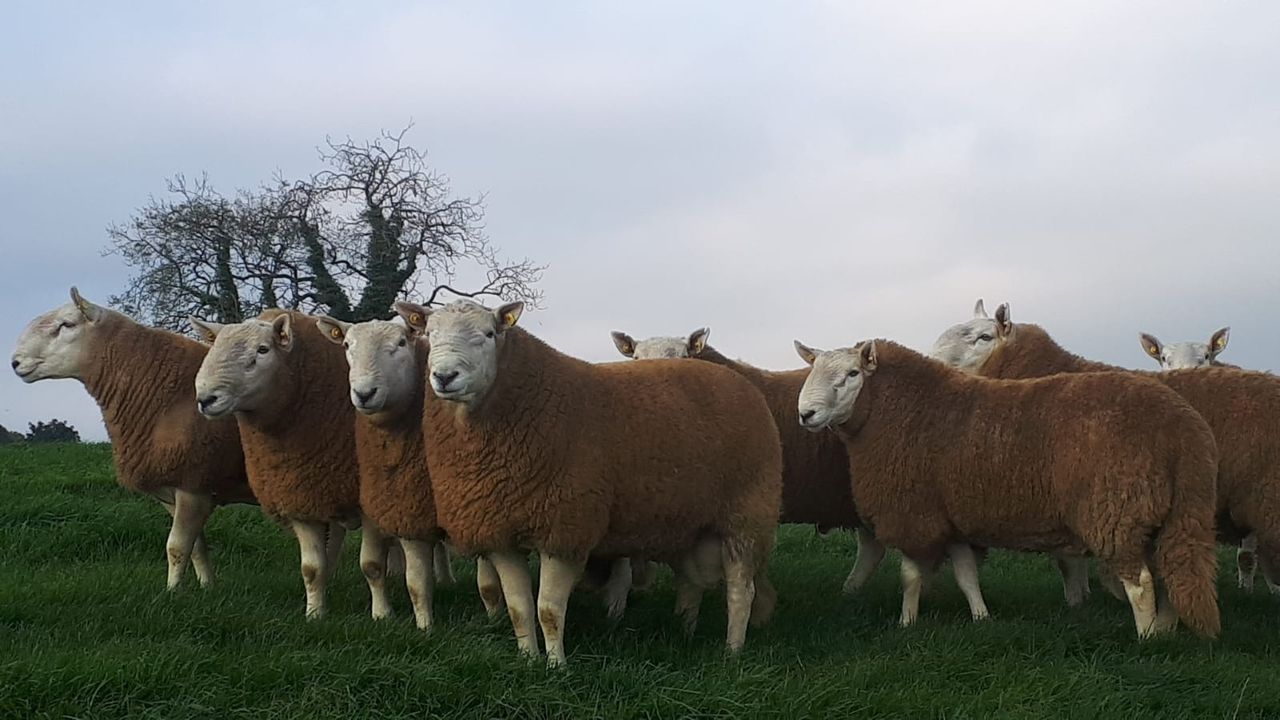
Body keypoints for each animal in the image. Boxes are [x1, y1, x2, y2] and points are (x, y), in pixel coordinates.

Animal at [10, 287, 254, 590]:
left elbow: (176, 547)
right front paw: (206, 589)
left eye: (67, 324)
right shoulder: (174, 488)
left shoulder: (194, 483)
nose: (15, 362)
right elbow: (196, 548)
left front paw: (172, 593)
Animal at [192, 309, 384, 620]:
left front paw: (381, 615)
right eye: (214, 346)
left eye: (263, 349)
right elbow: (311, 569)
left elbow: (372, 565)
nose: (206, 399)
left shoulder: (372, 501)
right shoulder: (300, 496)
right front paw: (315, 615)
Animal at [395, 299, 782, 667]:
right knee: (691, 583)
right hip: (691, 522)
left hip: (747, 514)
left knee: (740, 591)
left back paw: (732, 652)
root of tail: (738, 381)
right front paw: (528, 659)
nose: (445, 376)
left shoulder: (565, 527)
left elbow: (548, 610)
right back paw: (685, 632)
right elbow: (519, 607)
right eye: (430, 333)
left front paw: (556, 667)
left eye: (490, 334)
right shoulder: (501, 531)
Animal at [795, 338, 1221, 638]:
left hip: (1118, 508)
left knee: (1141, 582)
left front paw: (906, 623)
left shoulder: (914, 512)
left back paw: (1147, 638)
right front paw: (981, 617)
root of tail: (1184, 429)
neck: (901, 409)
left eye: (853, 373)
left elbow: (910, 577)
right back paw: (1166, 631)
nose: (806, 414)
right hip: (1168, 511)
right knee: (1169, 572)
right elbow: (966, 575)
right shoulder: (952, 517)